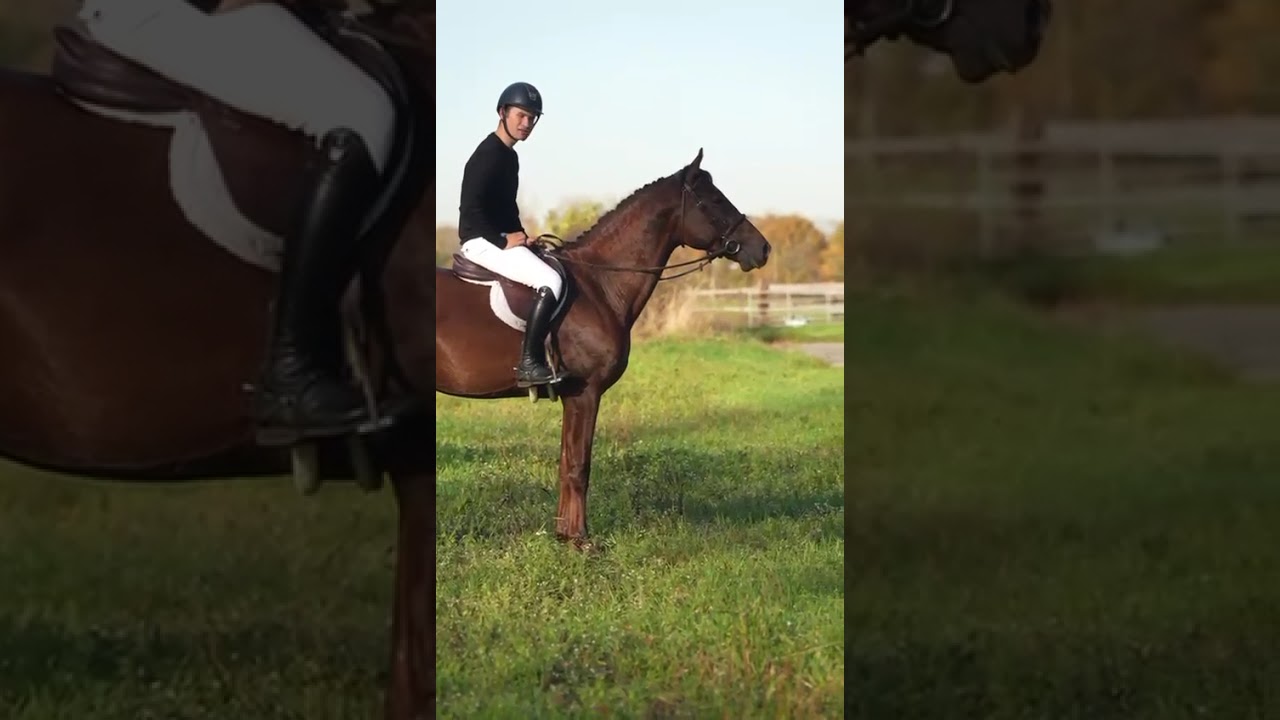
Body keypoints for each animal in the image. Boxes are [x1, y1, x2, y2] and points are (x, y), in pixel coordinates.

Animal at [436, 149, 772, 547]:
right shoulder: (586, 392)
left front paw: (564, 534)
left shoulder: (572, 396)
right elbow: (579, 466)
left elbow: (566, 462)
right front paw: (581, 540)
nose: (763, 248)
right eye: (716, 200)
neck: (599, 284)